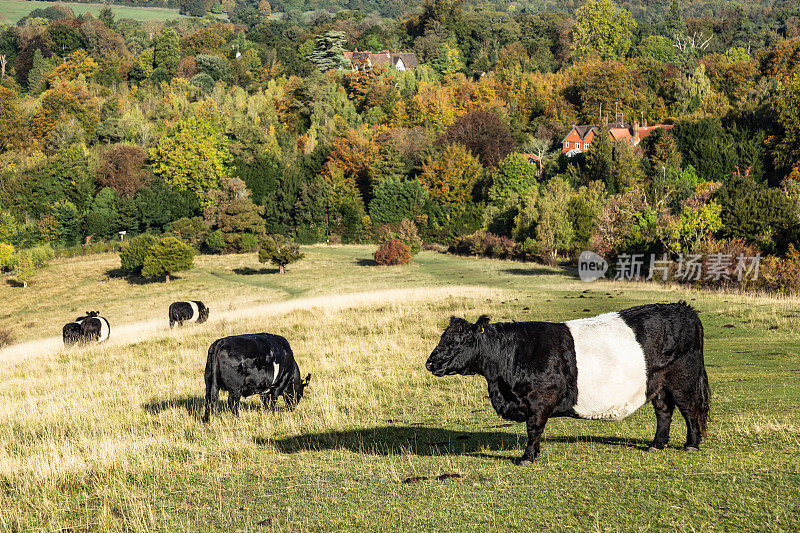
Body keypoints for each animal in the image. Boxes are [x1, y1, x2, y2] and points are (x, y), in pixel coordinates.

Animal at [428, 302, 708, 464]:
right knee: (664, 411)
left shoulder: (539, 399)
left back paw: (691, 445)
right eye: (442, 338)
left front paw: (527, 458)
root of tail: (684, 308)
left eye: (457, 341)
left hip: (684, 378)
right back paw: (656, 445)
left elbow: (534, 429)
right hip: (658, 383)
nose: (429, 363)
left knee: (689, 409)